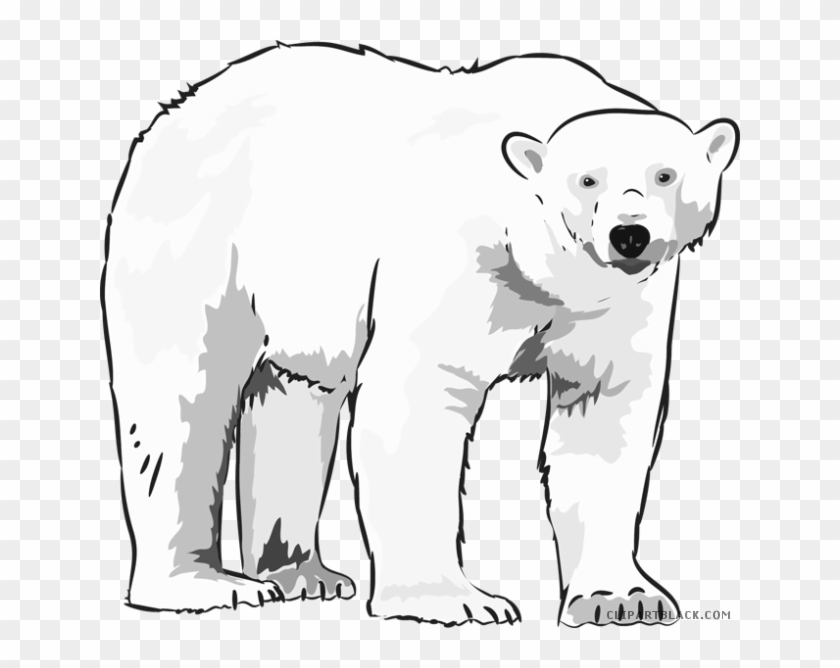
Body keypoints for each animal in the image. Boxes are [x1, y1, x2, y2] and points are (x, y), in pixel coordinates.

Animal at [101, 42, 739, 624]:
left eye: (665, 174)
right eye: (587, 180)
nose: (629, 235)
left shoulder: (620, 304)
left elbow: (605, 415)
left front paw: (622, 598)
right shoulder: (457, 257)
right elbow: (418, 398)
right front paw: (456, 601)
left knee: (295, 398)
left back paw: (304, 573)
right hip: (205, 244)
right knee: (183, 402)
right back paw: (205, 585)